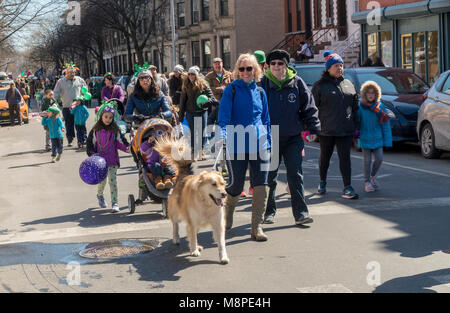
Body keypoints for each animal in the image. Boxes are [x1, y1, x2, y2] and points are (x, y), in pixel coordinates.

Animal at [155, 136, 230, 264]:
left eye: (223, 184)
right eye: (213, 184)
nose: (224, 194)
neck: (206, 204)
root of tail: (184, 175)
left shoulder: (218, 224)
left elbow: (221, 243)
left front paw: (223, 257)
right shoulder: (192, 222)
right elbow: (193, 236)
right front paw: (194, 250)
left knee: (189, 232)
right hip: (176, 213)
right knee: (176, 226)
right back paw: (177, 239)